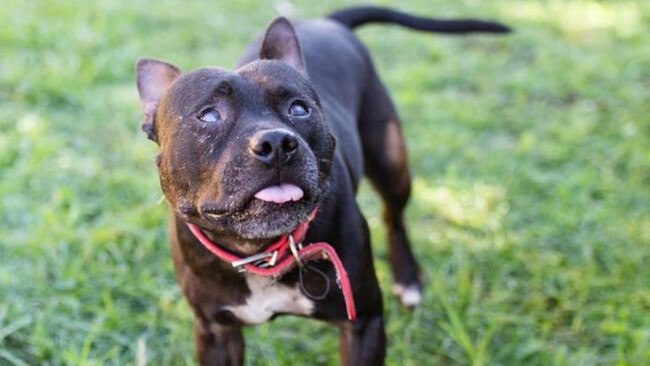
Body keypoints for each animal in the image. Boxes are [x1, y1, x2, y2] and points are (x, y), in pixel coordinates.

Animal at [133, 6, 506, 366]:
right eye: (209, 115)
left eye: (299, 108)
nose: (276, 142)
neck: (261, 251)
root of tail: (326, 22)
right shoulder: (215, 332)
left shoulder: (363, 322)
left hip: (391, 161)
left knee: (393, 215)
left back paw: (407, 279)